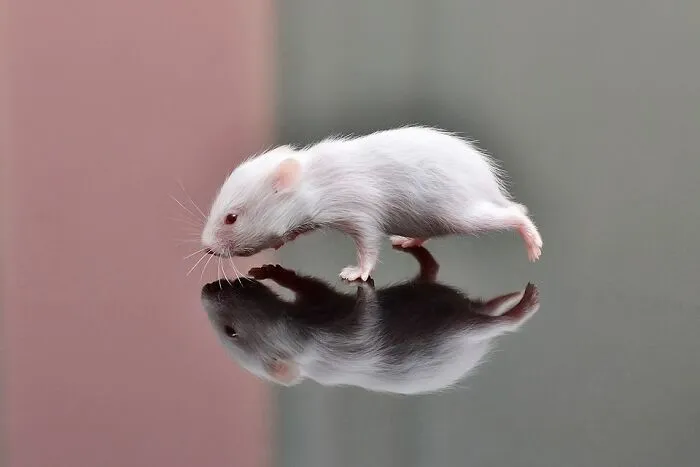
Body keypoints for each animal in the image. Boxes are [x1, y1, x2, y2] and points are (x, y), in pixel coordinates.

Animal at [200, 247, 540, 395]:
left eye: (230, 332)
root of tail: (475, 341)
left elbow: (310, 286)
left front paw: (273, 270)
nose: (205, 291)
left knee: (499, 324)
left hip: (457, 329)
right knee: (434, 273)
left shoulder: (323, 318)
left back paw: (523, 306)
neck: (304, 356)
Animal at [201, 126, 543, 281]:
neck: (311, 180)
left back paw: (531, 241)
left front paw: (356, 273)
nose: (205, 247)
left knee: (513, 214)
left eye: (231, 218)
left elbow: (368, 243)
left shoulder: (359, 211)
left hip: (460, 213)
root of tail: (489, 184)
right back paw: (408, 240)